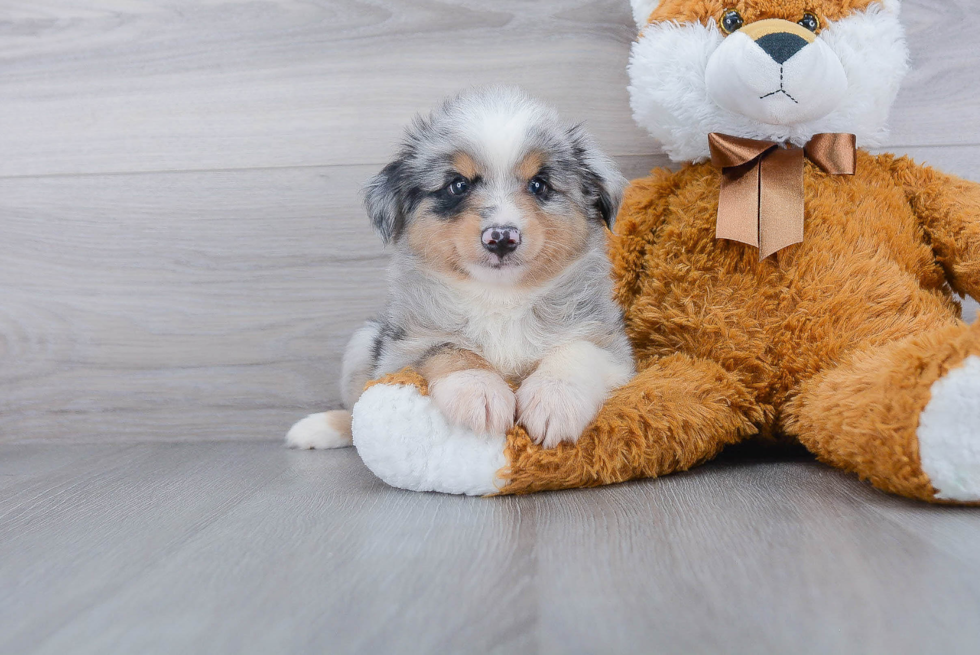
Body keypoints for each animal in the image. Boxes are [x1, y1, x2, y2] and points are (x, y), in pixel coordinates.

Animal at [288, 87, 632, 454]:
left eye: (540, 184)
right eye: (458, 185)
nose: (501, 237)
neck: (500, 297)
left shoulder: (610, 343)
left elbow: (577, 350)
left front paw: (554, 399)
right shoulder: (404, 348)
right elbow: (450, 349)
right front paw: (479, 390)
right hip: (364, 341)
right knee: (355, 413)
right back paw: (316, 428)